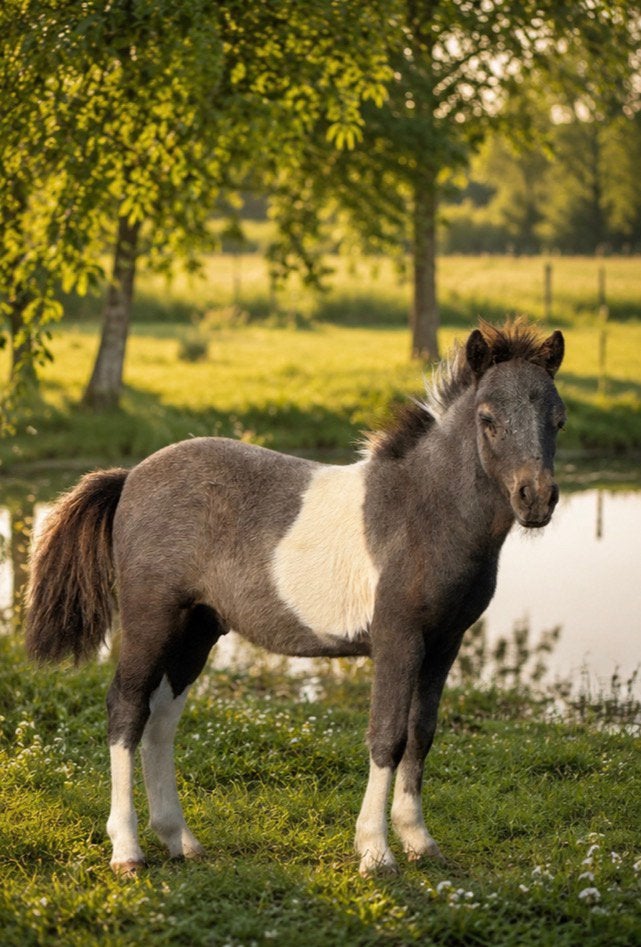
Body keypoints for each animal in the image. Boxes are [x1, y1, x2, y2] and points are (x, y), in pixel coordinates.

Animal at [25, 319, 566, 877]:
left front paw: (419, 840)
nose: (536, 499)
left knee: (162, 719)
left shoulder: (445, 643)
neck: (423, 514)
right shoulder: (398, 639)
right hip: (150, 619)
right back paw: (127, 849)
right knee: (126, 710)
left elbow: (422, 733)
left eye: (558, 420)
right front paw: (376, 851)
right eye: (487, 418)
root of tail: (130, 477)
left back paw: (179, 838)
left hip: (196, 629)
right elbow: (387, 736)